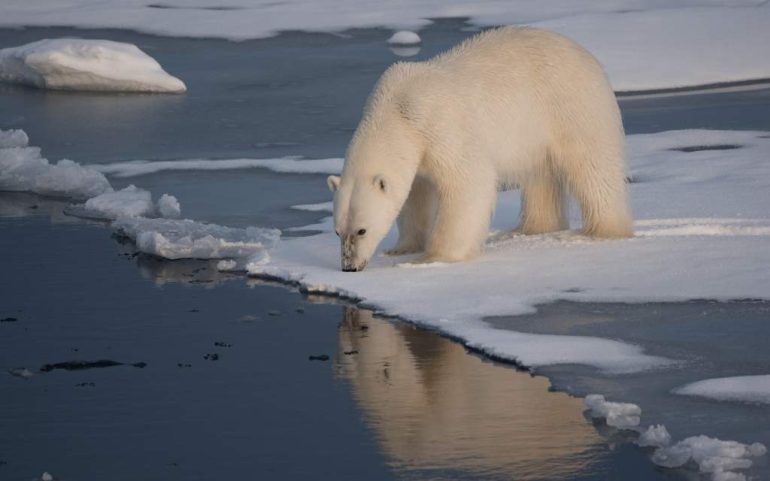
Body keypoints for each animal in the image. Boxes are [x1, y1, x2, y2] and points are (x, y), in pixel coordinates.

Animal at [326, 28, 632, 272]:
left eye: (362, 230)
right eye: (337, 231)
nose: (350, 267)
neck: (398, 109)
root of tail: (586, 54)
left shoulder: (441, 127)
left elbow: (468, 183)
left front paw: (433, 257)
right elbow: (415, 195)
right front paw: (402, 248)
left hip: (571, 106)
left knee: (592, 167)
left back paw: (603, 231)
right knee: (539, 176)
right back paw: (529, 228)